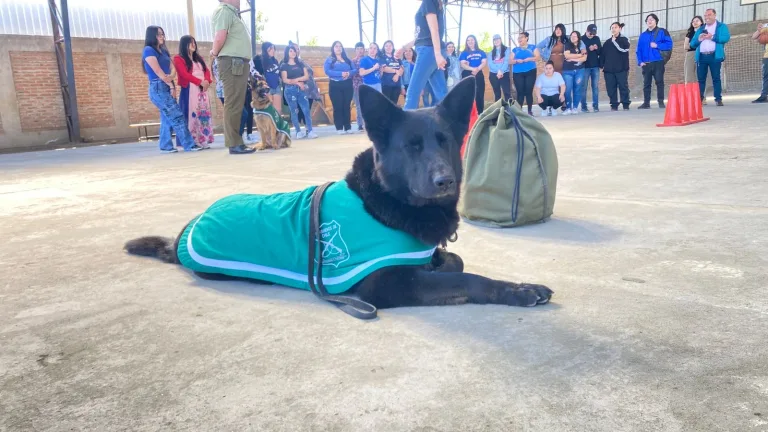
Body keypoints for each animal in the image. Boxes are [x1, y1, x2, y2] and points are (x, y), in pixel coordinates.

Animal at [126, 77, 552, 310]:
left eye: (446, 142)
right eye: (411, 147)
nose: (444, 181)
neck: (385, 200)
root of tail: (185, 230)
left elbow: (455, 261)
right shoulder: (386, 284)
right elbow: (467, 278)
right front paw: (519, 290)